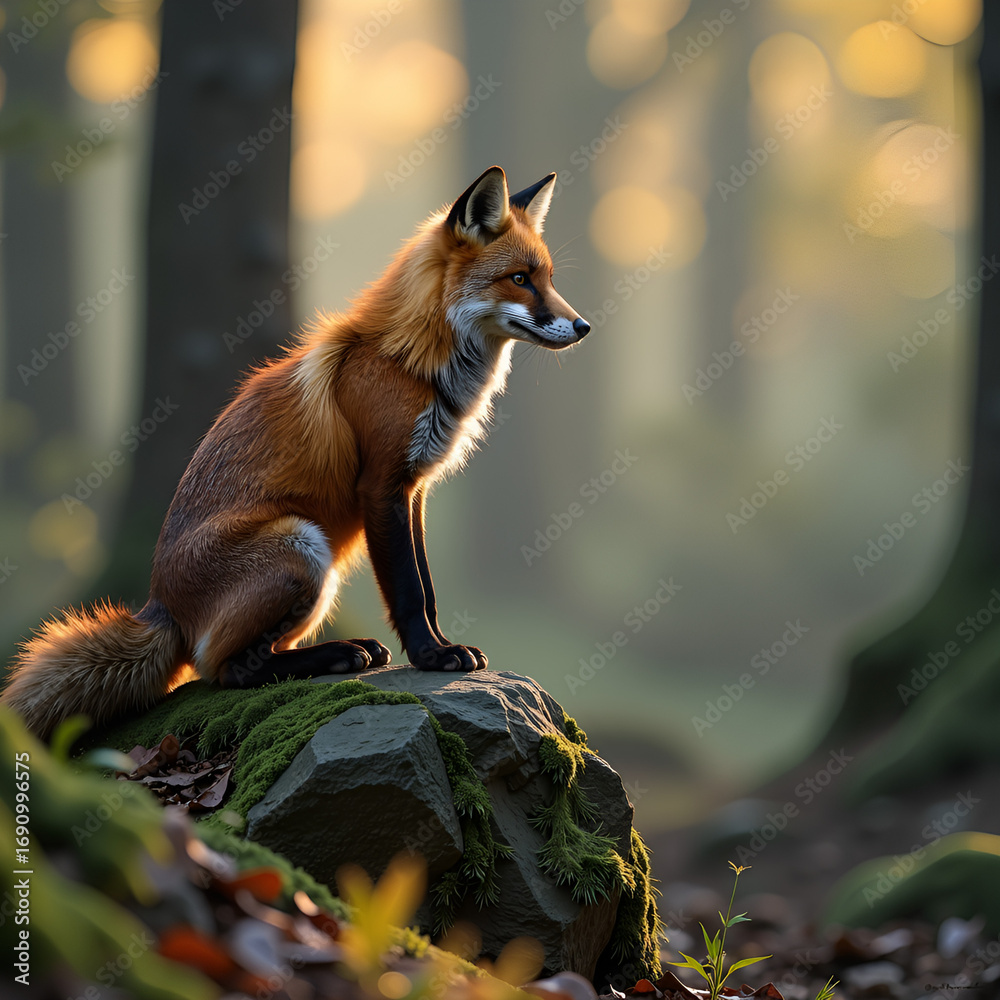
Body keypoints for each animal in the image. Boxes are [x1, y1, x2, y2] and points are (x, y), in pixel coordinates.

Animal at [2, 166, 591, 739]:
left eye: (550, 279)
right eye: (520, 279)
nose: (584, 327)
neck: (414, 363)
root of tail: (159, 606)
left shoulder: (416, 489)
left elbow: (426, 582)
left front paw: (442, 646)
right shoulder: (382, 483)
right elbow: (407, 588)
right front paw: (431, 656)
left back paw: (341, 653)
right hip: (301, 546)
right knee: (222, 671)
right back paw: (337, 656)